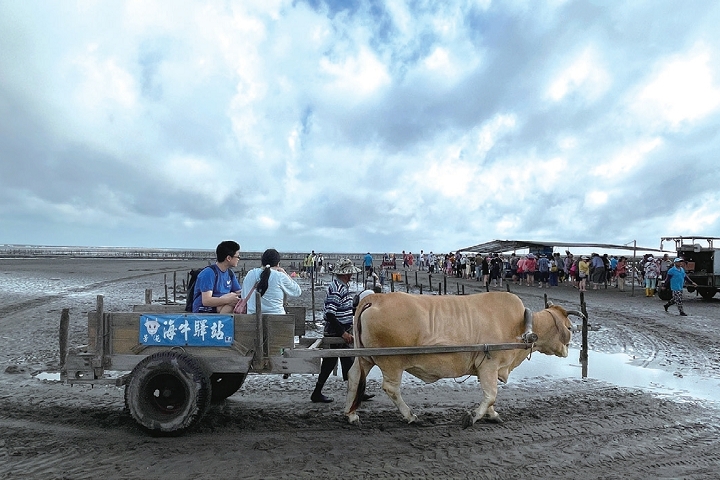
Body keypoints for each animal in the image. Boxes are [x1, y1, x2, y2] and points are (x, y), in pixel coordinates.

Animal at [344, 290, 580, 426]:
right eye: (568, 327)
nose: (568, 347)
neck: (521, 325)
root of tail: (376, 298)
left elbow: (491, 396)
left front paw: (492, 415)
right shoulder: (489, 365)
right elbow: (491, 394)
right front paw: (473, 417)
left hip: (365, 358)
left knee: (353, 377)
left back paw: (351, 414)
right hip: (391, 362)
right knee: (391, 388)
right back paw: (410, 416)